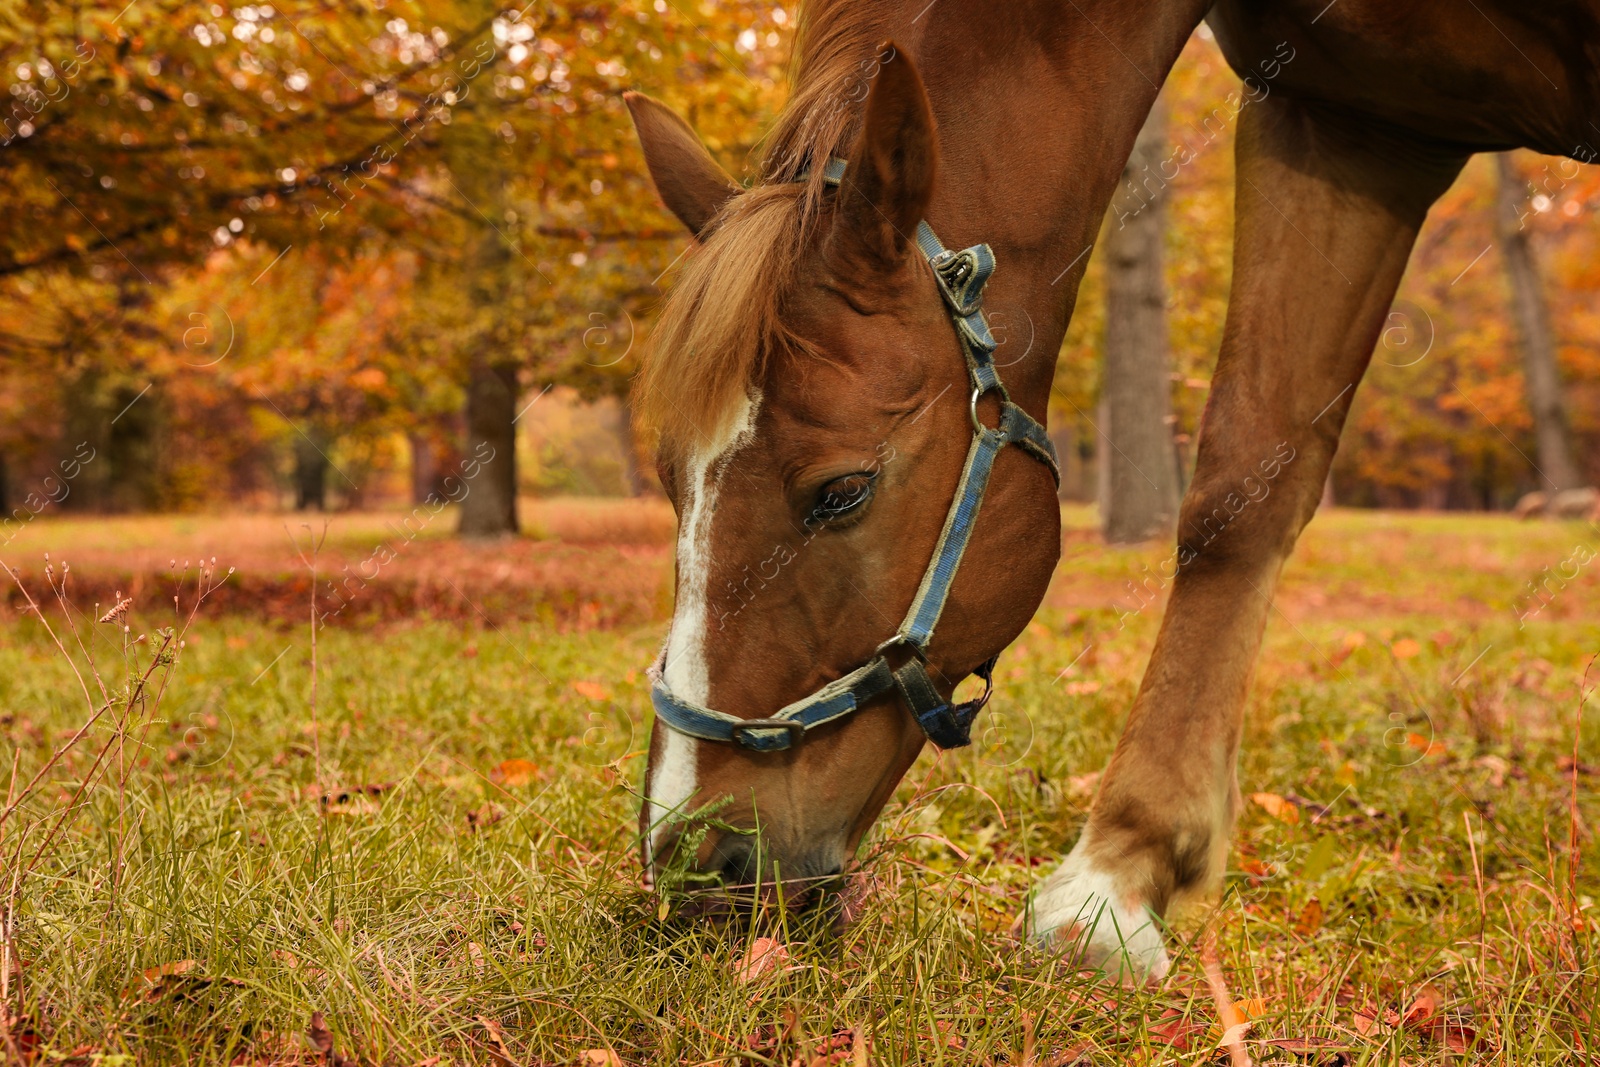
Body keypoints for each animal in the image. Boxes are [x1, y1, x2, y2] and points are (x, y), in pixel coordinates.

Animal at [620, 0, 1600, 979]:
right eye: (670, 477)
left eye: (841, 492)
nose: (691, 863)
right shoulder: (1348, 122)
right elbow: (1242, 486)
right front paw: (1122, 870)